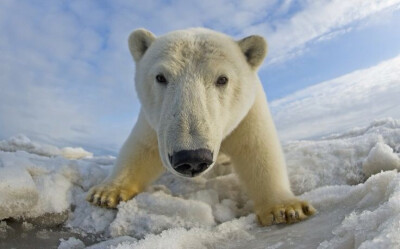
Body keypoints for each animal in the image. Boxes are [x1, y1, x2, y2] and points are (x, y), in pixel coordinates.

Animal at [87, 27, 316, 226]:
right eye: (160, 77)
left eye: (222, 79)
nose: (192, 158)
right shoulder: (155, 121)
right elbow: (142, 148)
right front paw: (105, 193)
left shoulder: (248, 113)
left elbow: (257, 150)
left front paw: (285, 209)